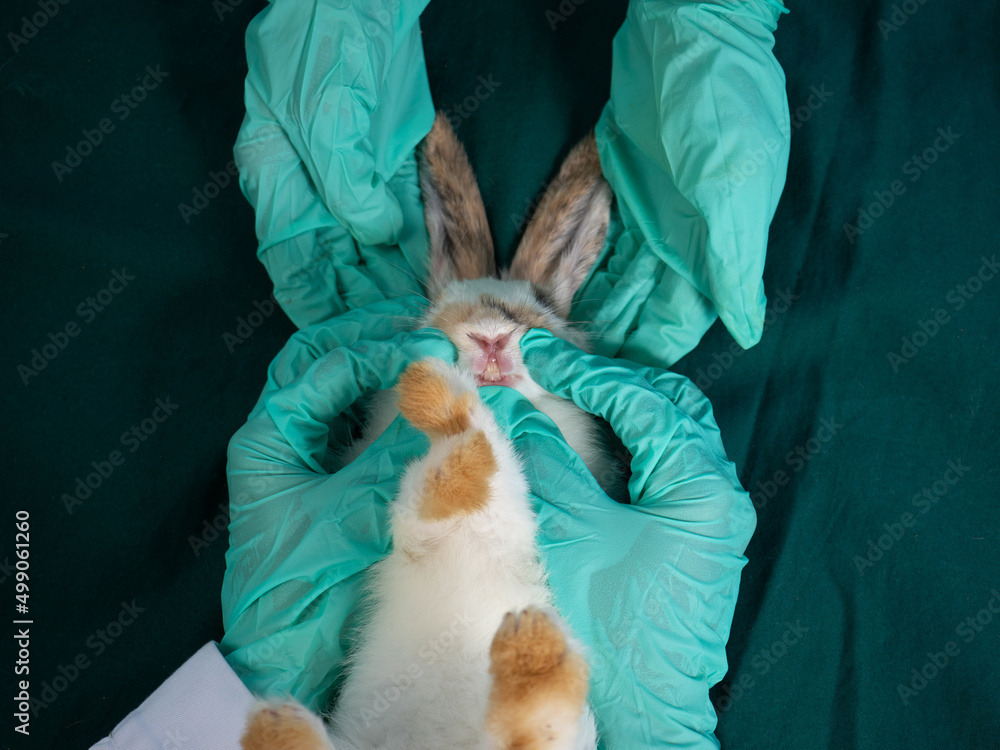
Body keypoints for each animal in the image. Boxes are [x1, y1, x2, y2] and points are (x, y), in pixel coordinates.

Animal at [240, 114, 612, 750]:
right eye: (441, 318)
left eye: (536, 316)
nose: (490, 337)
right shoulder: (422, 530)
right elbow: (437, 495)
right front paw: (435, 397)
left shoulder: (509, 519)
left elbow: (488, 477)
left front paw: (448, 411)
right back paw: (276, 725)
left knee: (531, 730)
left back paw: (533, 655)